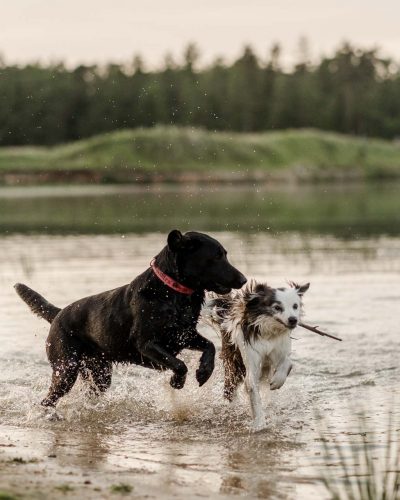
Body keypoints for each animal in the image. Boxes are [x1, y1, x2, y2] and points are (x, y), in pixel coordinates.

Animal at [14, 230, 245, 406]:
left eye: (224, 254)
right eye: (217, 256)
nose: (243, 279)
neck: (171, 293)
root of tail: (58, 313)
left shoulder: (183, 335)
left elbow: (210, 346)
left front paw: (204, 371)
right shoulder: (147, 344)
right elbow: (180, 365)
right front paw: (177, 381)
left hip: (100, 374)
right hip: (66, 369)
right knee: (48, 399)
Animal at [203, 280, 310, 428]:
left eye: (295, 306)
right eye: (277, 307)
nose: (293, 319)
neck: (269, 333)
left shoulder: (280, 349)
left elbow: (288, 362)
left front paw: (277, 380)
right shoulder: (251, 358)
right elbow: (253, 390)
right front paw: (259, 423)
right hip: (235, 365)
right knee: (230, 388)